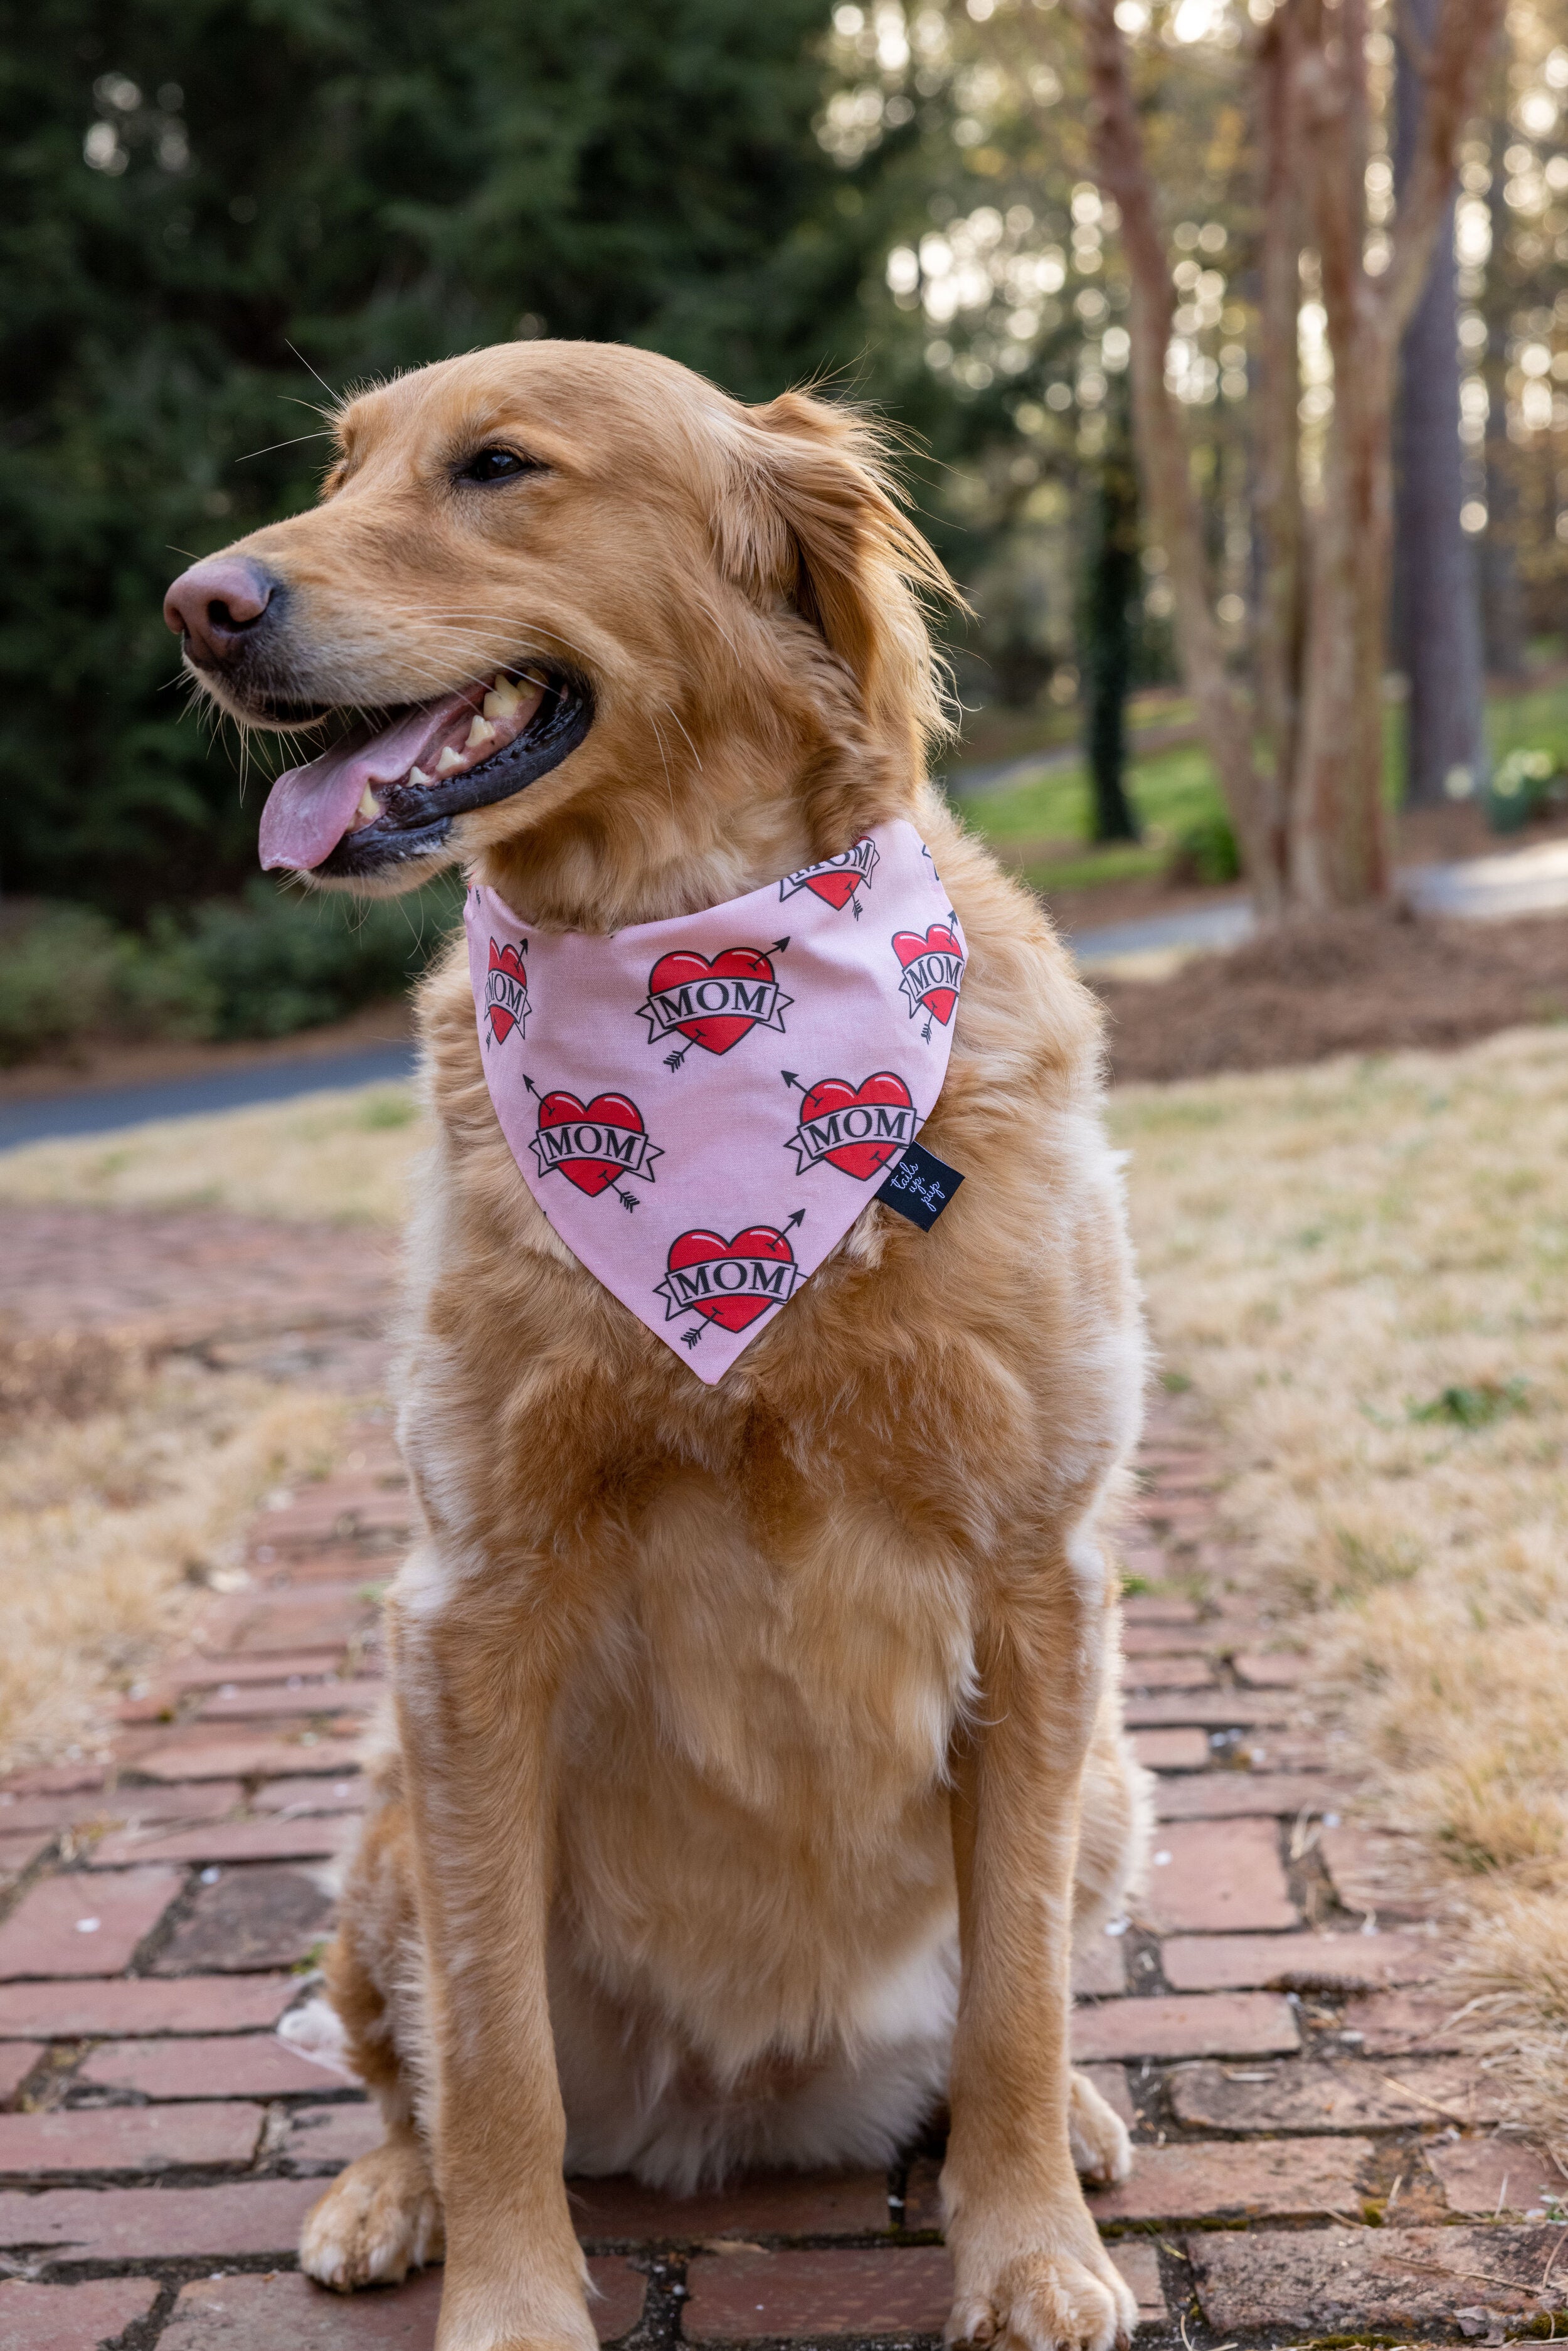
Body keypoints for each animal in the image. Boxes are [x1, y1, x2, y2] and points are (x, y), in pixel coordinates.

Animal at [166, 336, 1152, 2351]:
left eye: (496, 466)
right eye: (342, 466)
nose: (199, 604)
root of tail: (741, 2118)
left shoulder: (1040, 1576)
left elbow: (1017, 1990)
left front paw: (1027, 2252)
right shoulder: (469, 1607)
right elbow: (492, 2062)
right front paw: (511, 2306)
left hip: (1109, 1778)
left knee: (1018, 2004)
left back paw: (1080, 2127)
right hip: (385, 1832)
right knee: (409, 2068)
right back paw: (383, 2197)